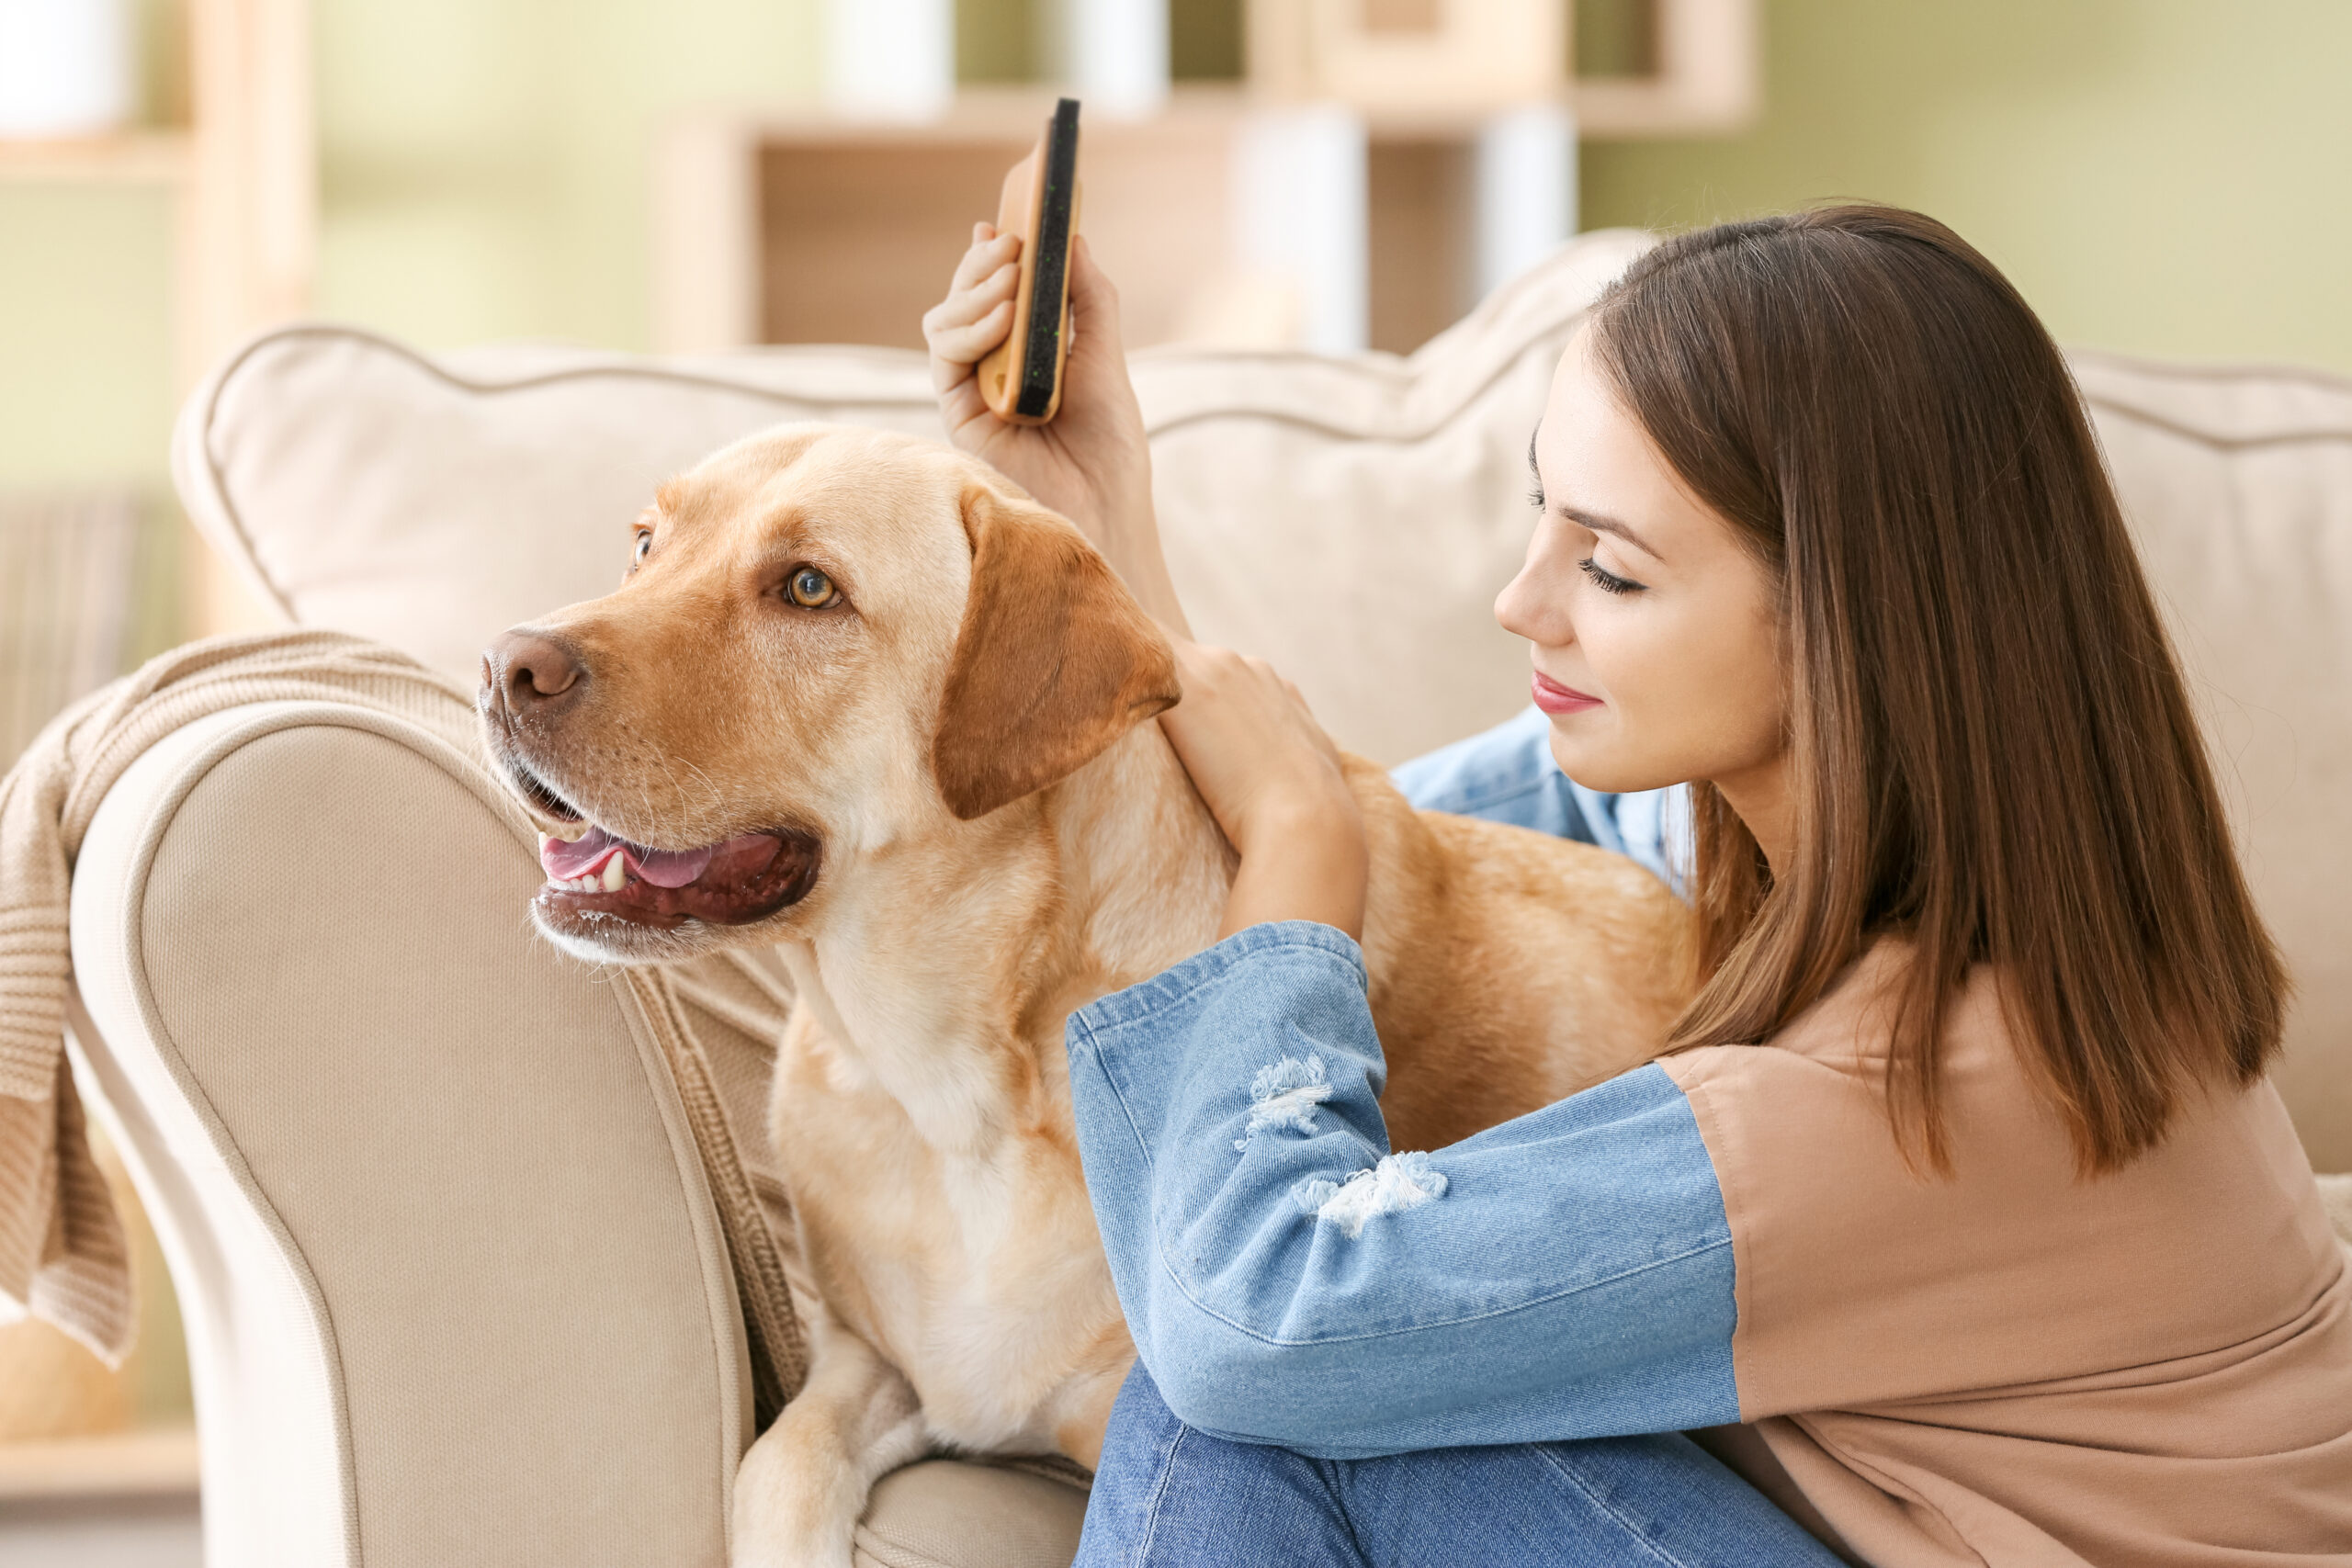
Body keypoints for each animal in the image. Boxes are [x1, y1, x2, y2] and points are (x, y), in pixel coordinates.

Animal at [477, 423, 1693, 1561]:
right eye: (645, 544)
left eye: (809, 588)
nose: (501, 666)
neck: (954, 1091)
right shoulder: (867, 1367)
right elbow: (773, 1471)